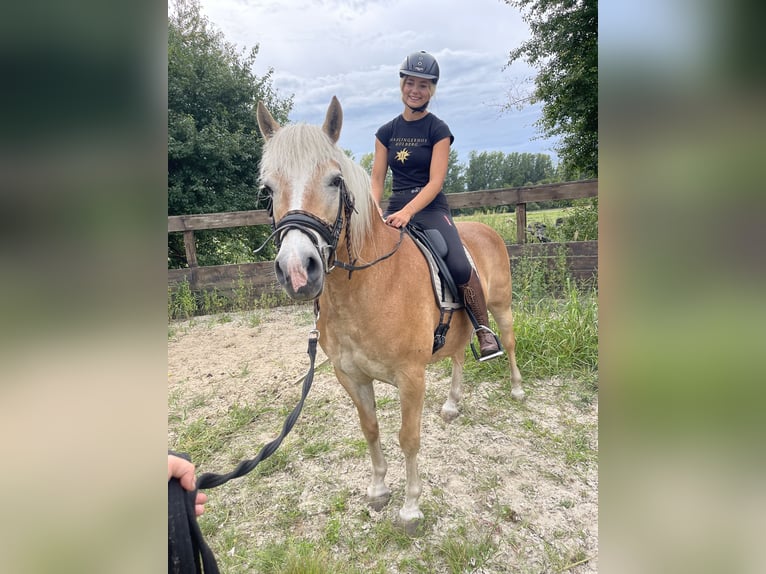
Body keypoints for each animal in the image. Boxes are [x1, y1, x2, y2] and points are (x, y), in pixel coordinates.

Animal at [255, 95, 524, 536]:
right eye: (268, 189)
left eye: (335, 181)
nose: (297, 270)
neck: (365, 289)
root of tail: (485, 228)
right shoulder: (351, 376)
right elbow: (371, 429)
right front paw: (379, 490)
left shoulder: (410, 378)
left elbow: (408, 437)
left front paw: (411, 508)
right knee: (458, 354)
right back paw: (452, 404)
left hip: (500, 308)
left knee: (509, 341)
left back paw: (516, 388)